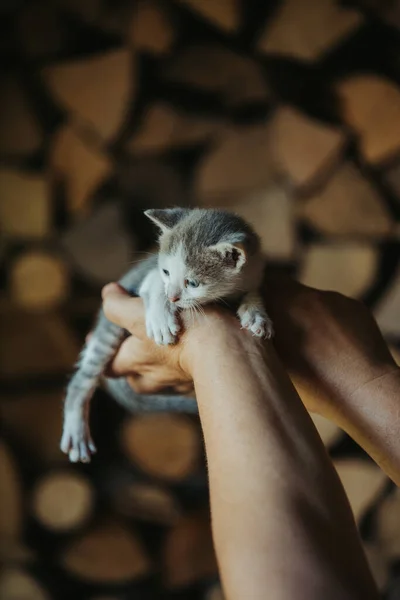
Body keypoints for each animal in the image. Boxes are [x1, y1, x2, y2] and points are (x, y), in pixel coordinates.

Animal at [61, 207, 274, 464]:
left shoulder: (254, 273)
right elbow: (155, 285)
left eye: (192, 283)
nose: (173, 296)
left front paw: (256, 314)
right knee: (81, 380)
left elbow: (253, 291)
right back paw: (76, 430)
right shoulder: (149, 277)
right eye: (166, 271)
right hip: (107, 331)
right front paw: (161, 318)